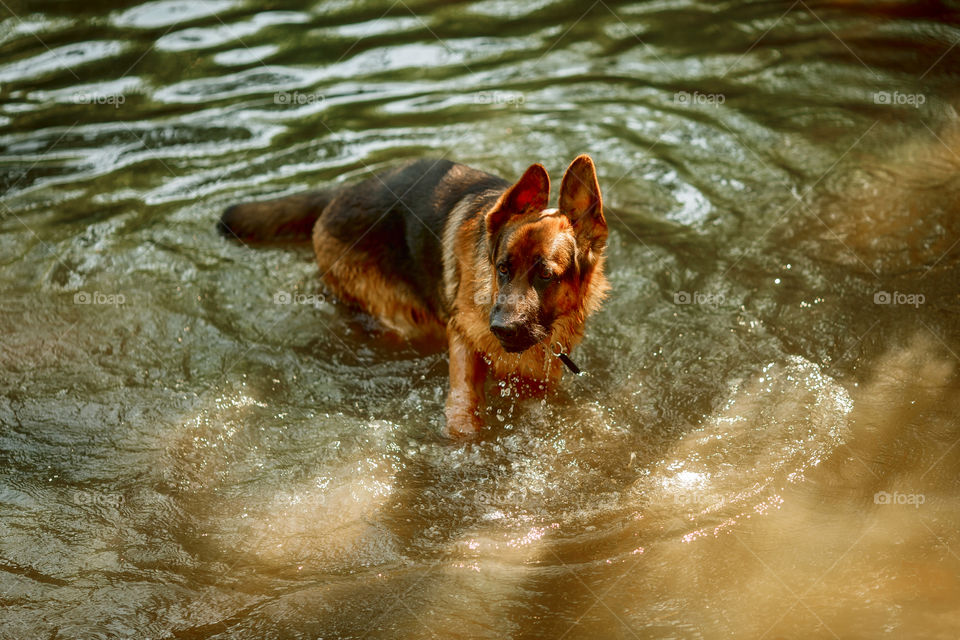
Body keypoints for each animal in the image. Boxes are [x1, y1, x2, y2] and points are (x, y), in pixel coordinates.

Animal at [219, 156, 608, 436]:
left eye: (545, 276)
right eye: (502, 268)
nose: (500, 328)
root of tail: (343, 190)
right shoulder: (463, 339)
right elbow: (464, 406)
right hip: (395, 320)